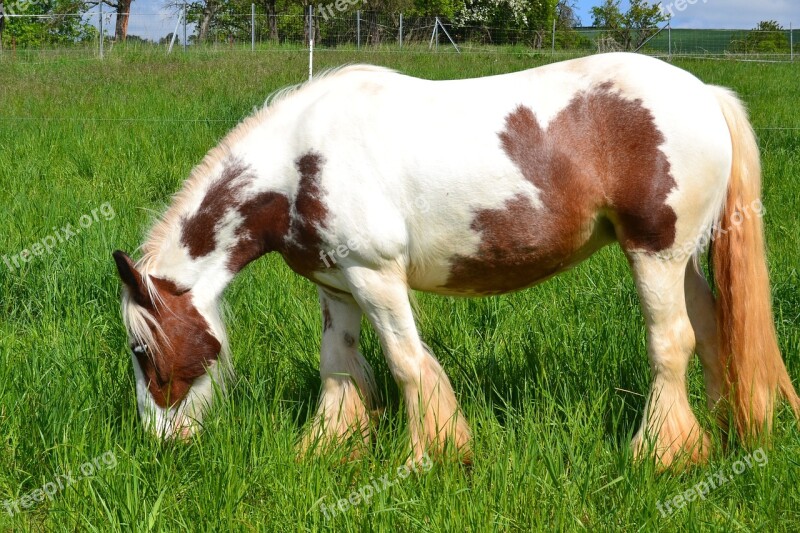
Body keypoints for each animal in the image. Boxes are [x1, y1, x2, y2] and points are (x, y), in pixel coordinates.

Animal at [114, 52, 800, 468]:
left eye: (143, 351)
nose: (160, 445)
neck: (298, 164)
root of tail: (705, 93)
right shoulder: (336, 286)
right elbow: (339, 367)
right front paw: (328, 447)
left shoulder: (375, 277)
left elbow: (407, 363)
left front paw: (429, 457)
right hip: (683, 259)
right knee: (711, 330)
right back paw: (723, 435)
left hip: (656, 253)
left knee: (671, 342)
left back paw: (660, 454)